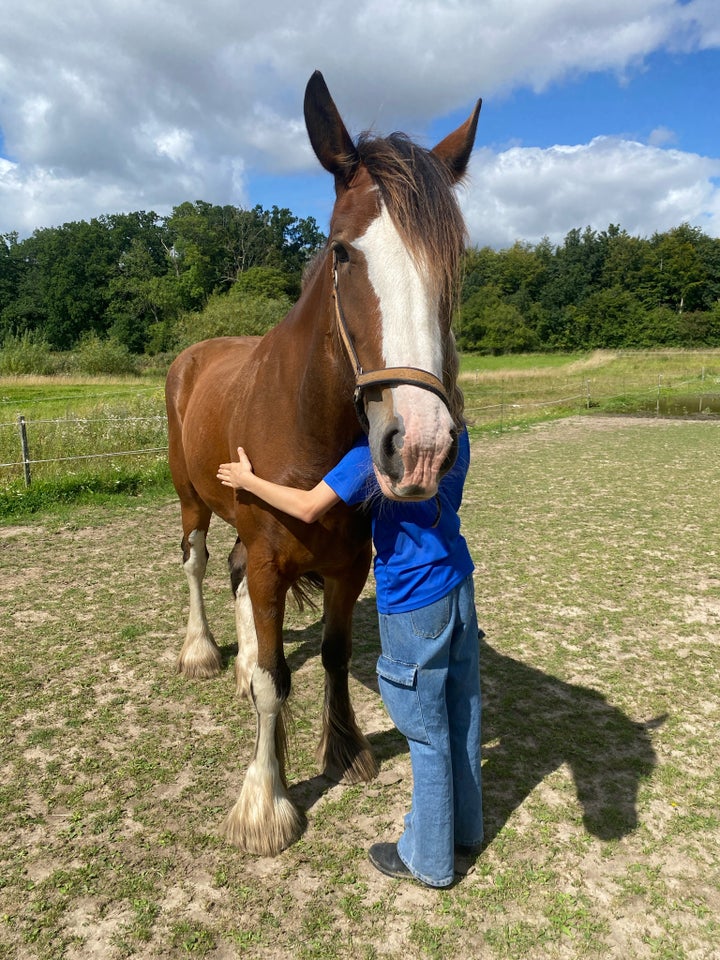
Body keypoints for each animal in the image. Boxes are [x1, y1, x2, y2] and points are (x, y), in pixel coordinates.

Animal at [163, 73, 478, 856]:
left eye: (454, 262)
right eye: (340, 252)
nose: (420, 446)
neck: (306, 425)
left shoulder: (347, 564)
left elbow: (331, 655)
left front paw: (345, 750)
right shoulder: (272, 559)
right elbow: (278, 682)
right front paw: (265, 804)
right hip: (190, 501)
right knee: (199, 564)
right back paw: (204, 653)